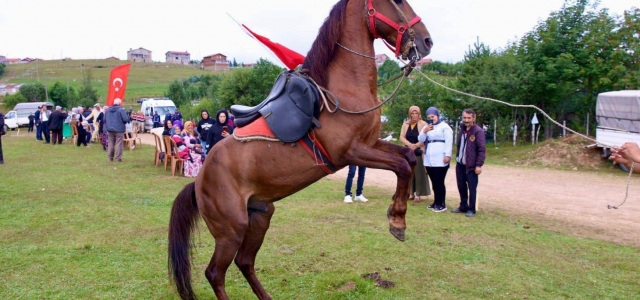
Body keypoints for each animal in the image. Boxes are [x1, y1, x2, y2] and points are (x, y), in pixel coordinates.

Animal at [168, 1, 432, 298]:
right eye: (396, 2)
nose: (426, 41)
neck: (342, 90)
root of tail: (198, 181)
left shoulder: (371, 143)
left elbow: (408, 158)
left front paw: (397, 214)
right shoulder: (350, 153)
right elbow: (401, 166)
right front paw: (397, 222)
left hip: (260, 216)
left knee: (245, 262)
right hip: (231, 230)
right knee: (215, 273)